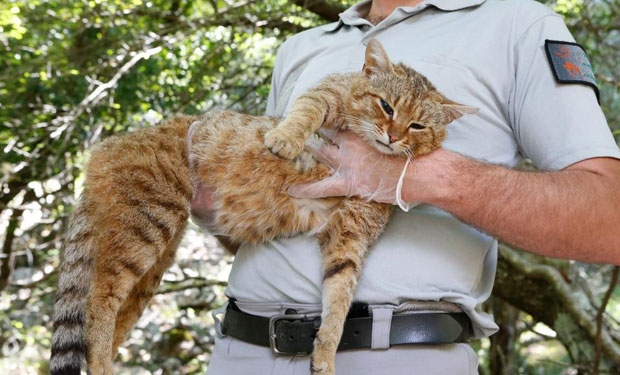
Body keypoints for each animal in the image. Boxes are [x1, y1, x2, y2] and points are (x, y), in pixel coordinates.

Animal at [50, 39, 478, 375]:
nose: (392, 136)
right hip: (146, 223)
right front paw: (284, 139)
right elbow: (305, 112)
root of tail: (107, 147)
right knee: (98, 299)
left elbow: (339, 299)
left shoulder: (350, 236)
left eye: (418, 126)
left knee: (108, 316)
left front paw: (325, 354)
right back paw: (103, 363)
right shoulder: (327, 92)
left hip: (153, 258)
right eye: (386, 106)